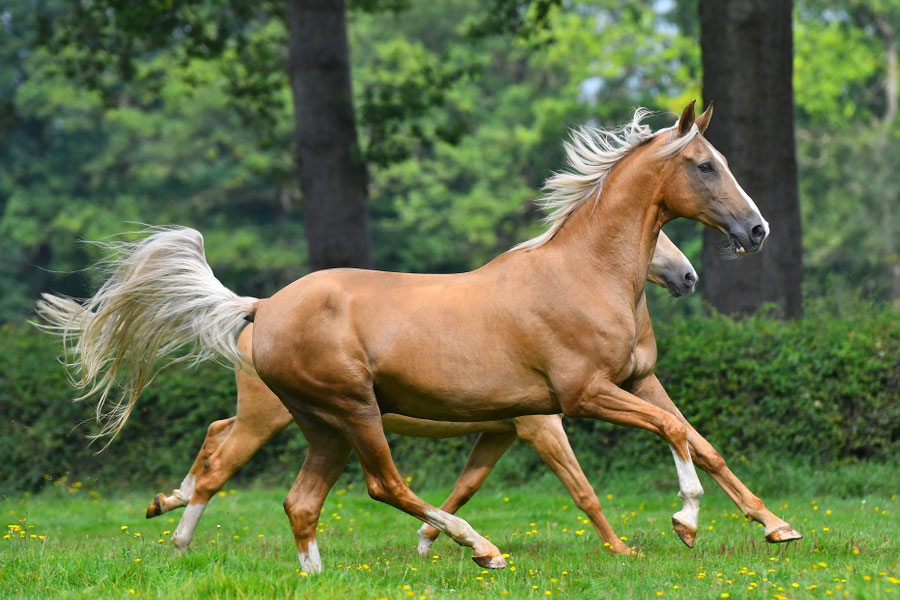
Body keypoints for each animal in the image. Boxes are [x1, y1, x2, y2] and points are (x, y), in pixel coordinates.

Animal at [146, 231, 696, 556]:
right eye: (659, 238)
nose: (688, 276)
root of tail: (260, 309)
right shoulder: (541, 426)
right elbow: (583, 491)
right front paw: (621, 549)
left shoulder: (501, 431)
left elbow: (467, 486)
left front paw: (431, 542)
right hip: (289, 417)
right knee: (222, 466)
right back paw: (179, 539)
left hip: (297, 420)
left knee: (217, 436)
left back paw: (167, 501)